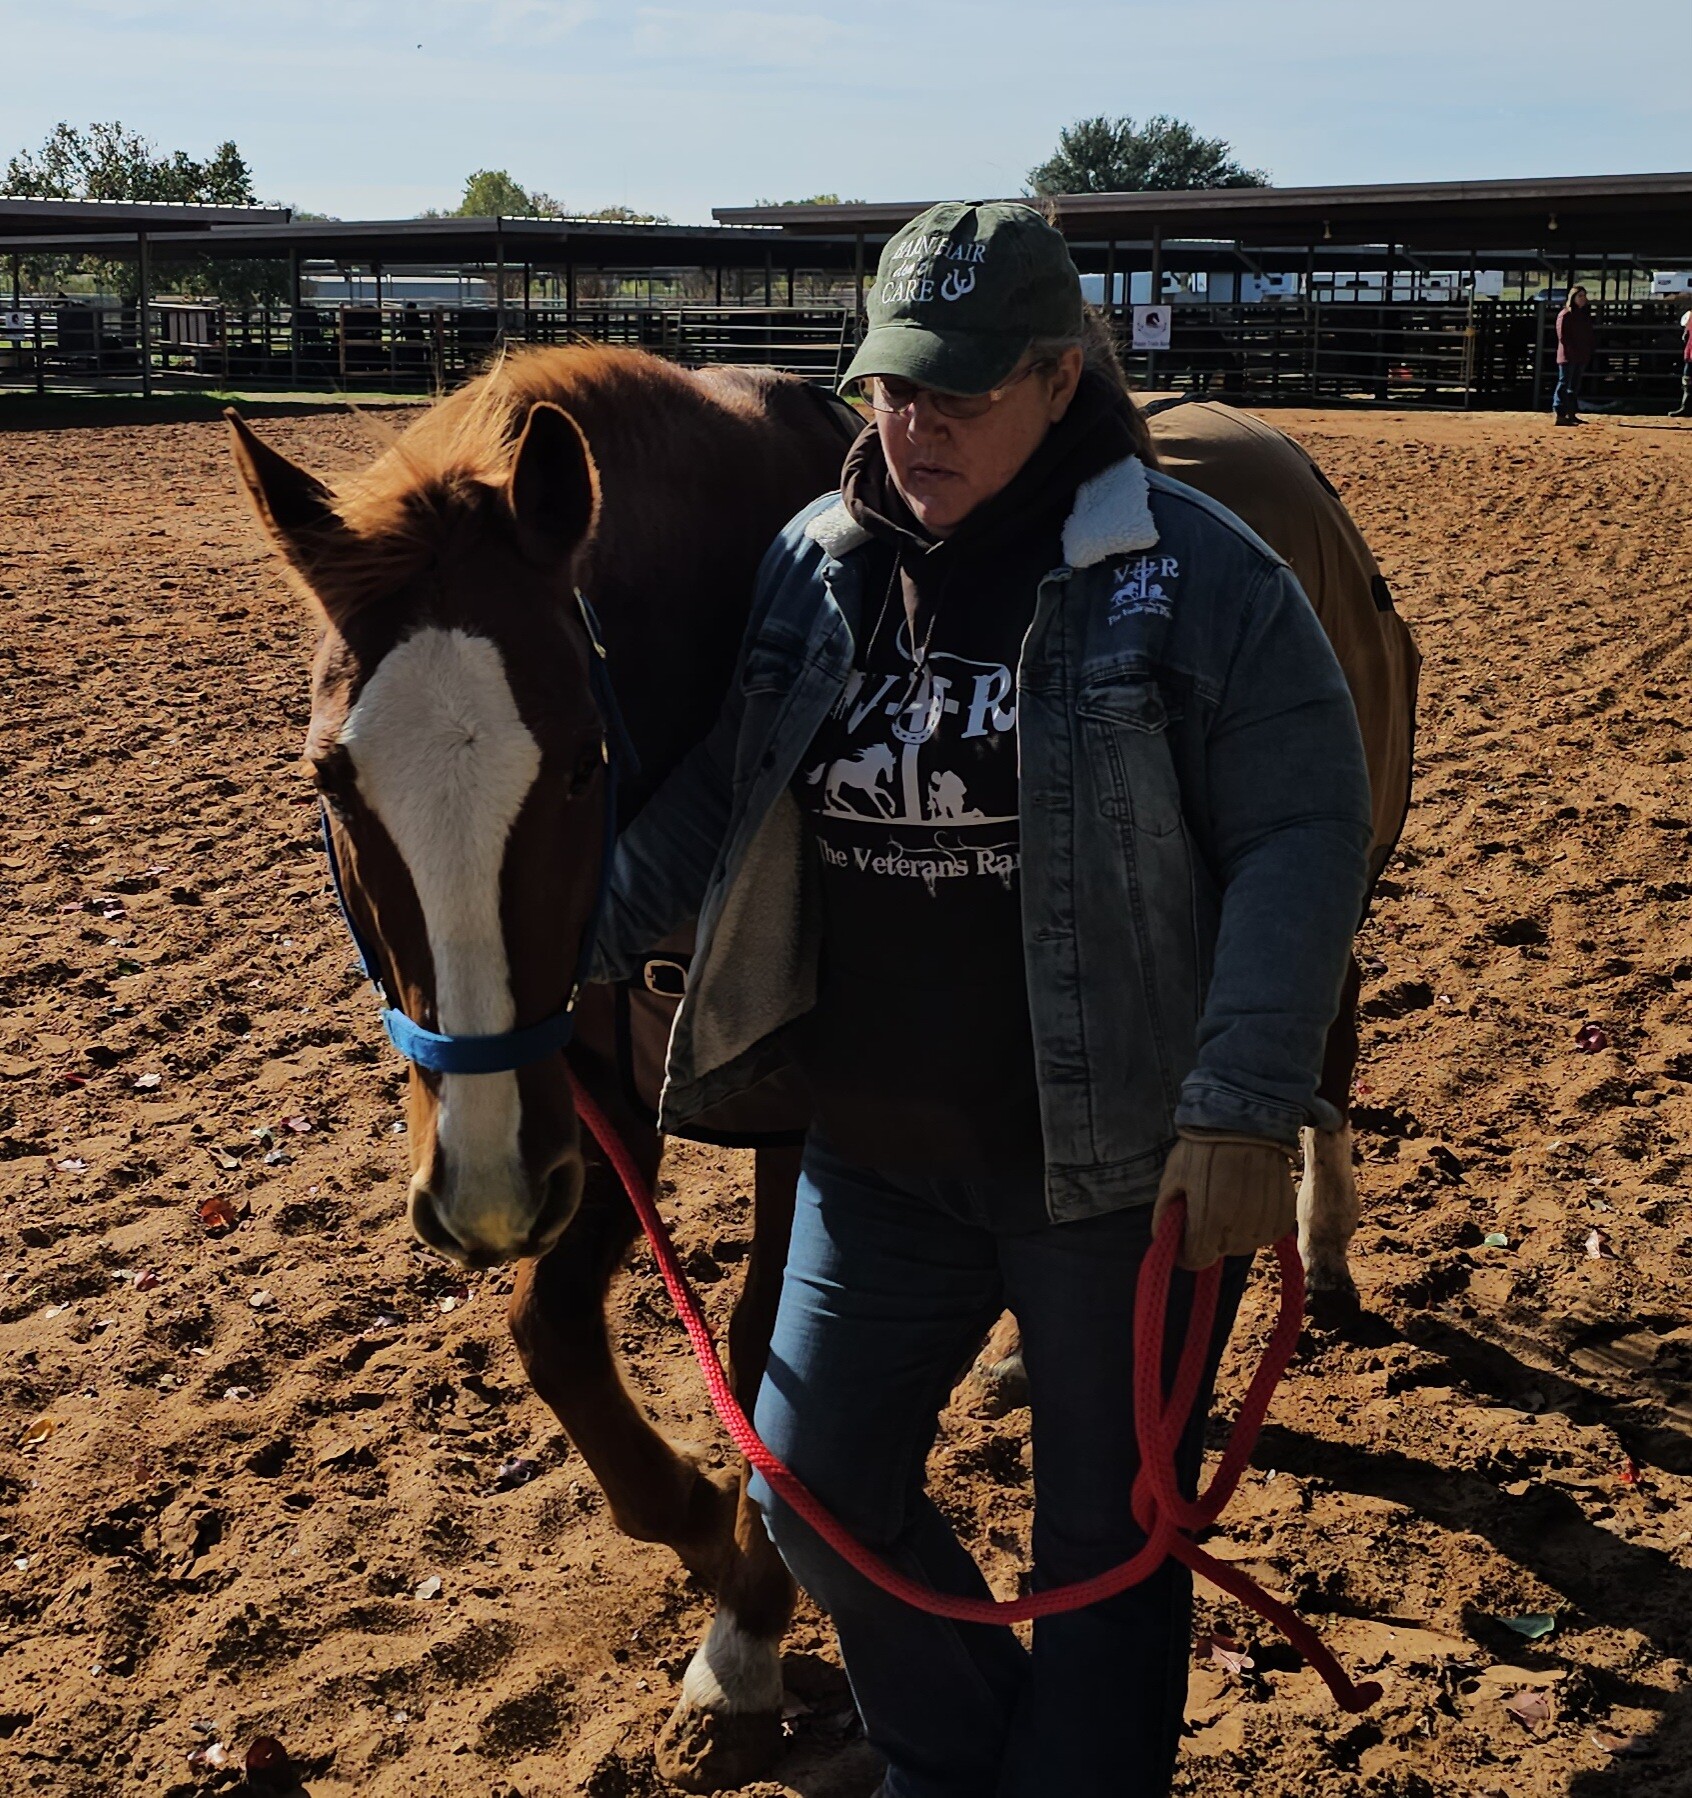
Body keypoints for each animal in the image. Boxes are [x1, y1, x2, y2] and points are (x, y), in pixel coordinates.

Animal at [226, 345, 856, 1792]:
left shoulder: (796, 1104)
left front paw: (742, 1641)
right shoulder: (576, 1101)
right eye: (330, 777)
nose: (480, 1194)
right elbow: (549, 1332)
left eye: (582, 760)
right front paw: (694, 1514)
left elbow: (769, 1349)